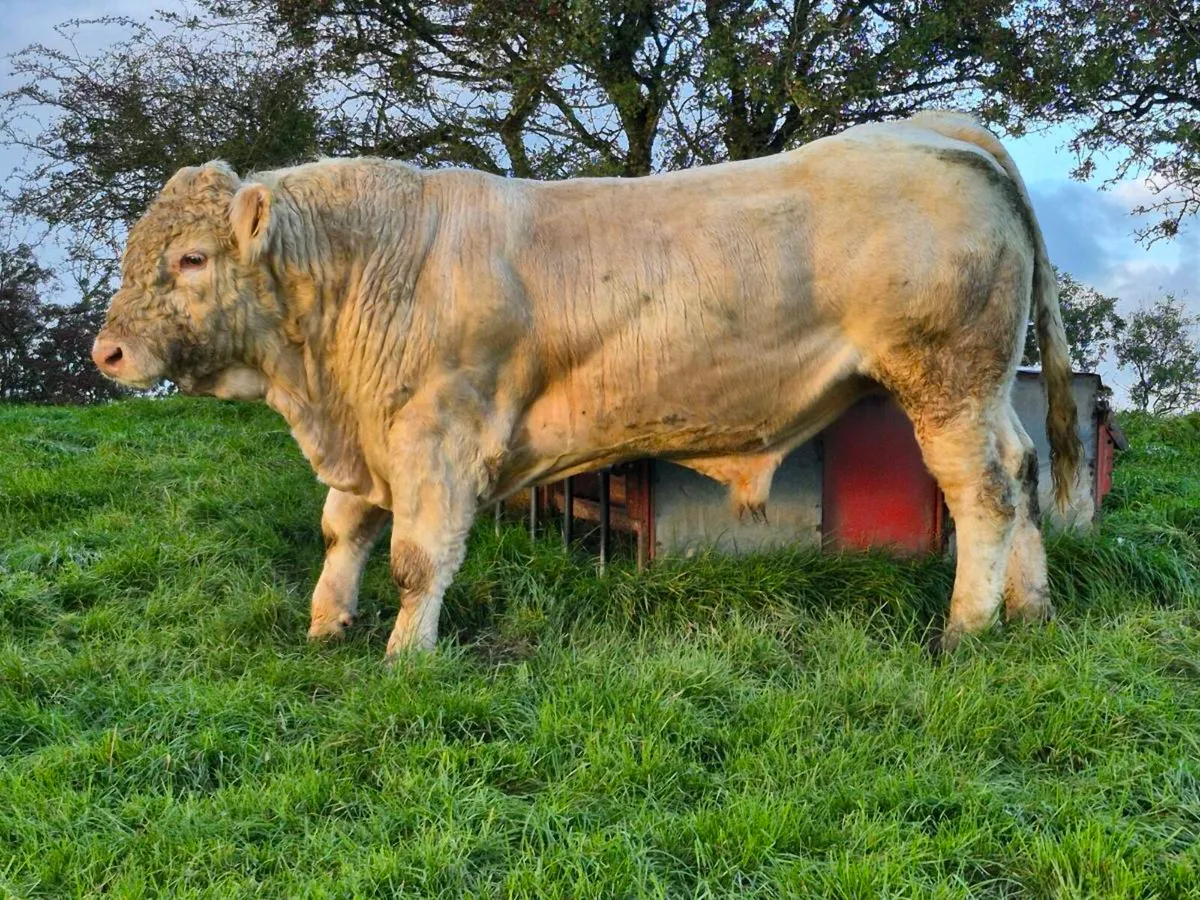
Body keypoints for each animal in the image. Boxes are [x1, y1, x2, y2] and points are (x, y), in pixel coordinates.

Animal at [92, 110, 1082, 658]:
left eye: (190, 258)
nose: (108, 354)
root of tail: (937, 129)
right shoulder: (372, 433)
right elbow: (345, 531)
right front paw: (326, 624)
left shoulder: (438, 433)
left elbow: (418, 556)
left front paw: (407, 654)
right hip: (983, 387)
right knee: (1022, 469)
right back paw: (1029, 611)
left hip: (944, 378)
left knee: (982, 496)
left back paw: (966, 629)